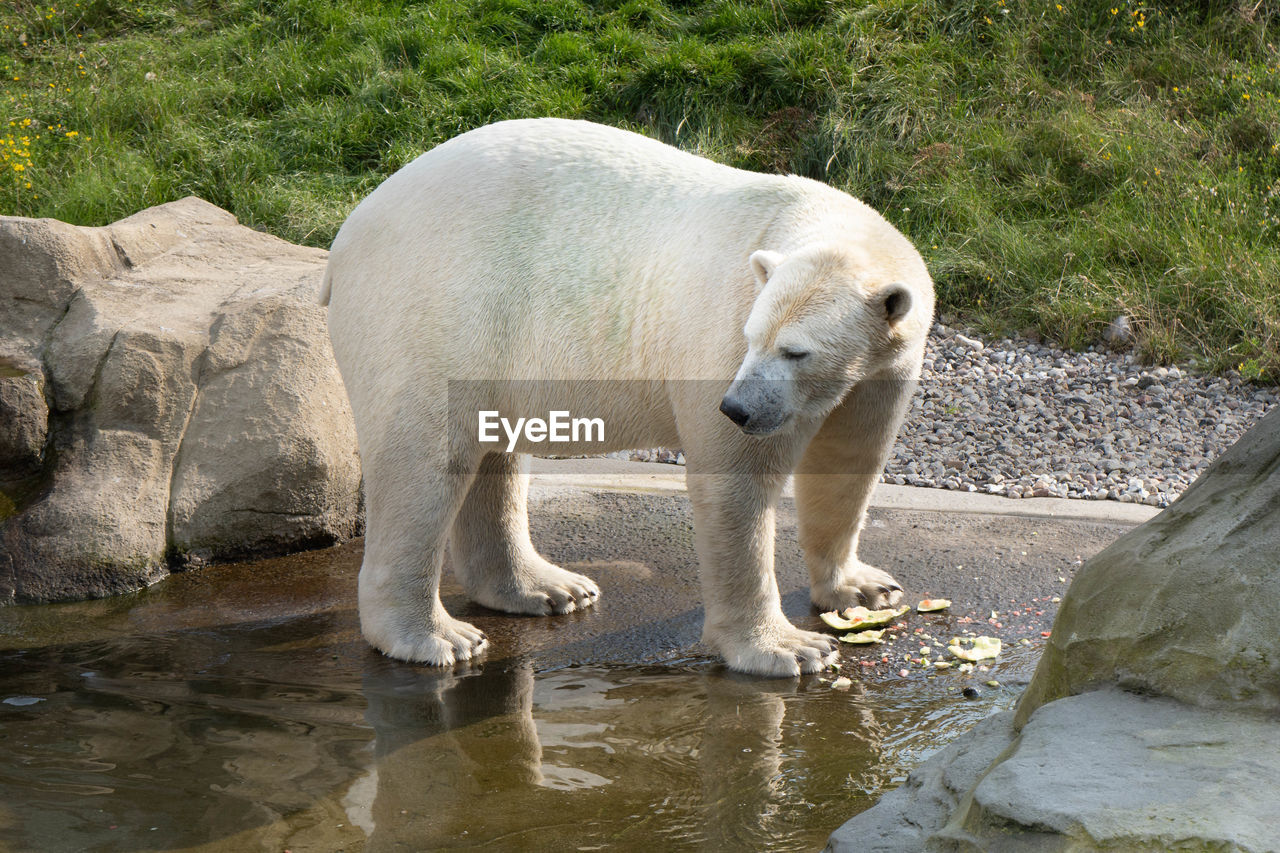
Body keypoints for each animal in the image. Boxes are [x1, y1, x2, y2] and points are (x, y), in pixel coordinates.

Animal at [325, 121, 936, 676]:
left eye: (795, 351)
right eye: (752, 337)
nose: (736, 408)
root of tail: (347, 234)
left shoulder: (882, 370)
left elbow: (849, 462)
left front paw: (866, 589)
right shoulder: (718, 329)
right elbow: (738, 481)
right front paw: (790, 648)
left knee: (491, 444)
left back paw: (547, 588)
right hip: (432, 305)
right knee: (424, 461)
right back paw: (436, 637)